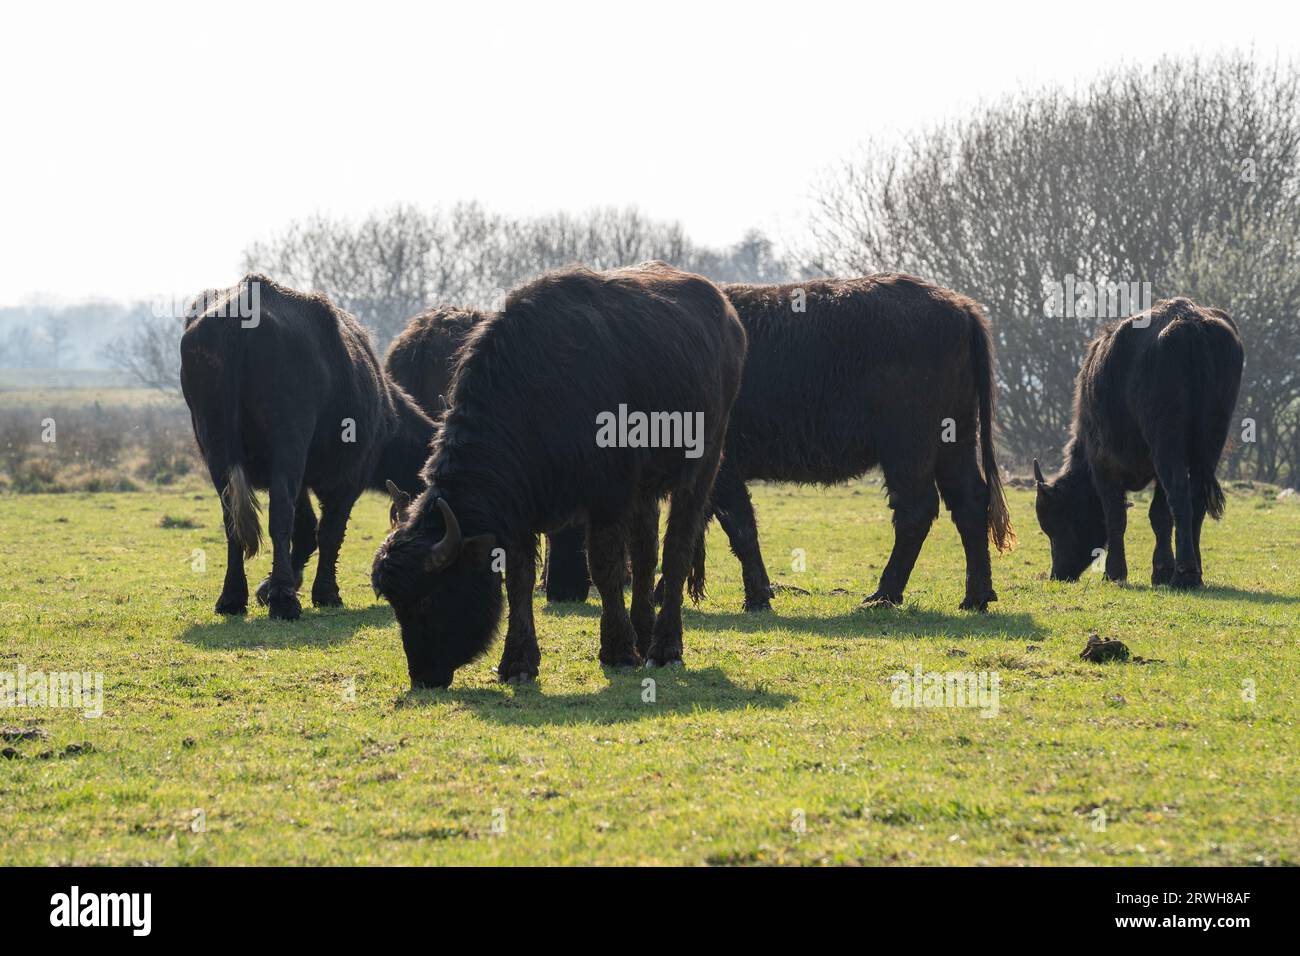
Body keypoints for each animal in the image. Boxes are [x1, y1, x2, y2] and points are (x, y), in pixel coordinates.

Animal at [371, 261, 748, 686]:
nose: (423, 676)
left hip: (702, 465)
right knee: (645, 554)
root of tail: (727, 316)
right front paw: (518, 662)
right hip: (645, 491)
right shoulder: (518, 509)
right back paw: (643, 632)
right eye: (397, 606)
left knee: (676, 551)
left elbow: (604, 568)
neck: (537, 395)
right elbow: (518, 578)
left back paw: (664, 648)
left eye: (429, 598)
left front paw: (618, 651)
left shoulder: (608, 497)